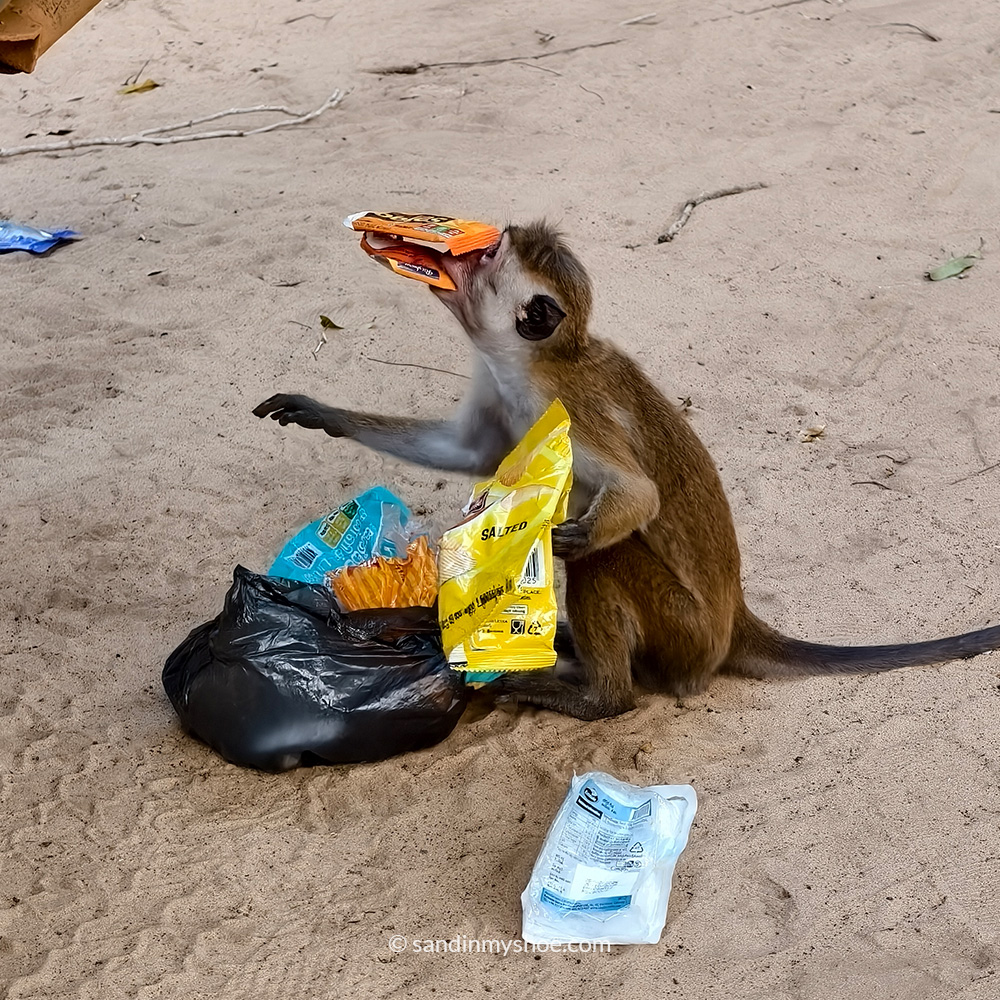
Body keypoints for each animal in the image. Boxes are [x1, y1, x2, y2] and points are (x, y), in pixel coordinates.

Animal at [253, 221, 1000, 721]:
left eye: (487, 254)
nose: (448, 249)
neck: (532, 362)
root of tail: (731, 626)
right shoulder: (500, 392)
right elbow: (464, 455)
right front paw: (322, 413)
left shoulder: (566, 405)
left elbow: (634, 496)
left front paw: (569, 537)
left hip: (684, 634)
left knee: (606, 562)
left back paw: (601, 695)